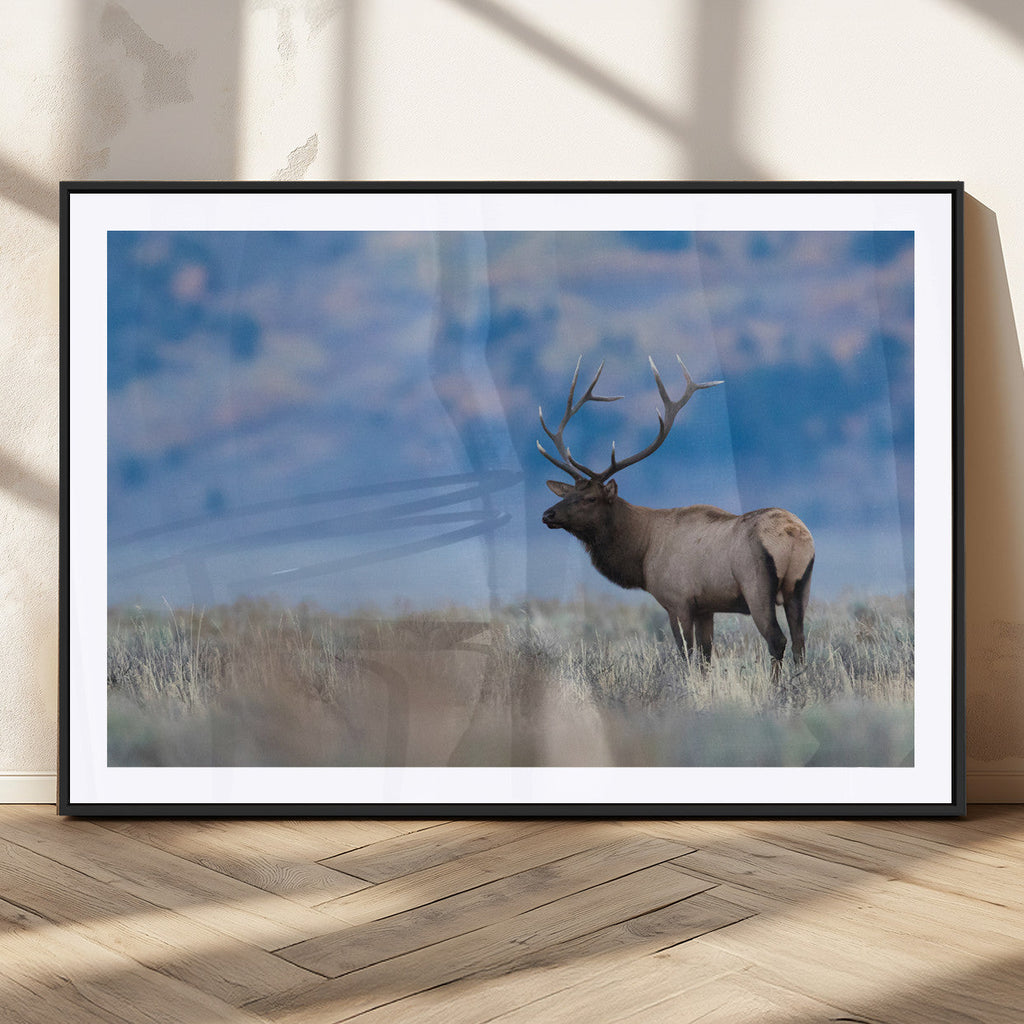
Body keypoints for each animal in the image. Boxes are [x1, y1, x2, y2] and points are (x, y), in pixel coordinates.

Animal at [539, 356, 815, 678]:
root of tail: (793, 535)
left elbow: (687, 654)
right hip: (800, 587)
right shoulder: (706, 606)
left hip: (756, 585)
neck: (642, 552)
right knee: (800, 641)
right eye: (567, 494)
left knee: (776, 639)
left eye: (591, 498)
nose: (547, 514)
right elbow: (706, 655)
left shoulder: (677, 600)